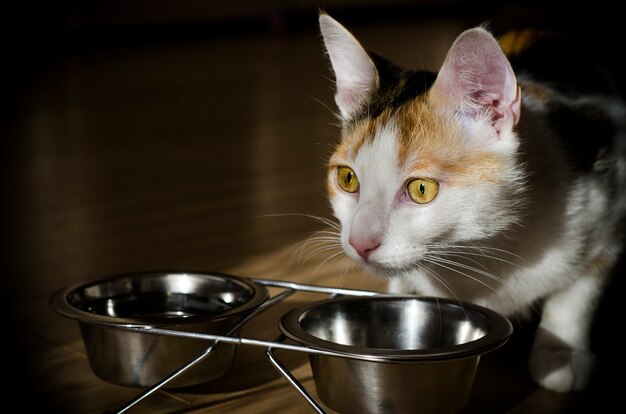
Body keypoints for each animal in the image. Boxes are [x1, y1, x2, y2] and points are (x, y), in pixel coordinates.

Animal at [316, 11, 624, 392]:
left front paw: (560, 351)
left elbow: (578, 293)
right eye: (347, 179)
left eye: (421, 190)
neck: (478, 248)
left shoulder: (608, 212)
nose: (360, 242)